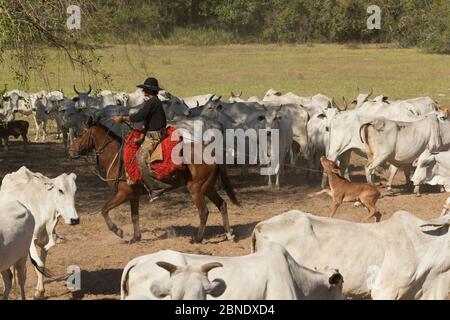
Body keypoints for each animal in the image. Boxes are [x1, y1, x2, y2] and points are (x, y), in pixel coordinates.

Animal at [0, 168, 79, 300]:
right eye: (60, 190)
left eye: (75, 191)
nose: (75, 220)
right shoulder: (31, 242)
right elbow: (39, 265)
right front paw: (39, 292)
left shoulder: (44, 243)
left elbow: (41, 264)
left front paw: (40, 292)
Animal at [67, 120, 239, 242]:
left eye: (81, 134)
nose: (70, 151)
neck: (118, 158)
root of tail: (211, 154)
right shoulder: (133, 196)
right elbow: (134, 216)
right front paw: (136, 237)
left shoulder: (123, 193)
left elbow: (104, 209)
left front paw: (118, 231)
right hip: (208, 187)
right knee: (222, 204)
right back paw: (229, 234)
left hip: (196, 189)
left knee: (204, 212)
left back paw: (197, 239)